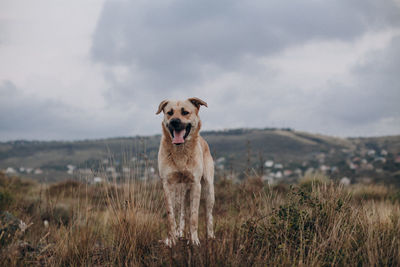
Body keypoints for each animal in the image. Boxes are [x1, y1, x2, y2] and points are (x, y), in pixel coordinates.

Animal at [155, 98, 216, 247]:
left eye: (185, 112)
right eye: (169, 113)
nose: (174, 121)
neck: (180, 152)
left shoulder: (195, 184)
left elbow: (194, 216)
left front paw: (194, 239)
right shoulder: (167, 184)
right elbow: (171, 216)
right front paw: (171, 239)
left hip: (209, 189)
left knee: (208, 214)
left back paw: (210, 236)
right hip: (181, 192)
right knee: (182, 212)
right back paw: (180, 234)